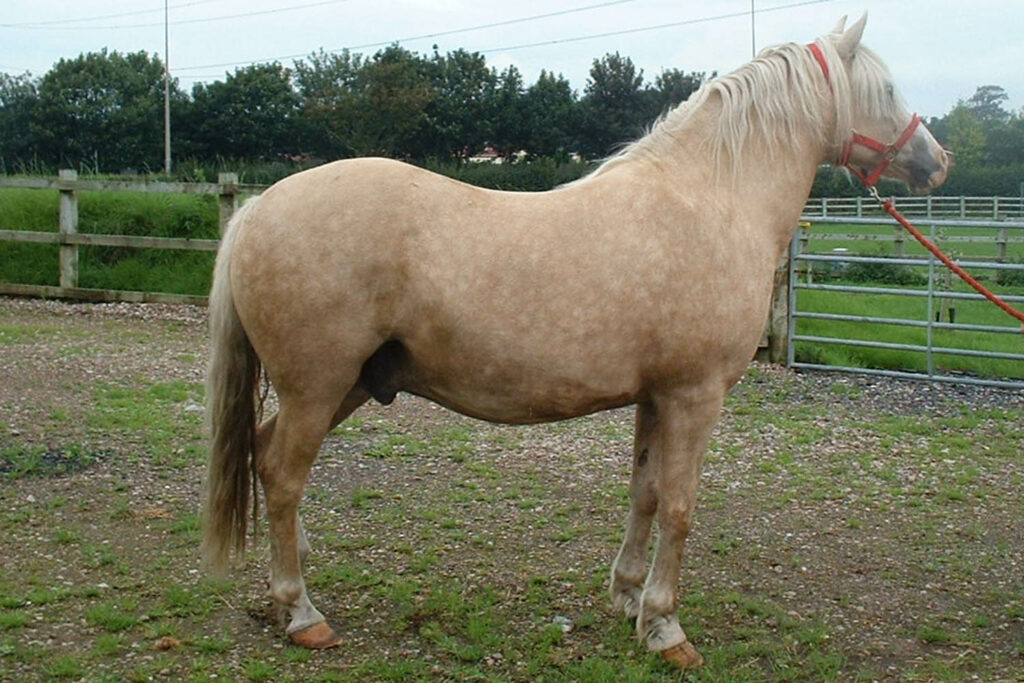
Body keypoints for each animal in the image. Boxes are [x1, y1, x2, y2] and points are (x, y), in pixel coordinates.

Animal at [203, 14, 946, 667]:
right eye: (885, 91)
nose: (937, 161)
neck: (710, 199)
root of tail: (258, 209)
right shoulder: (695, 396)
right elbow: (680, 505)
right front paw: (667, 629)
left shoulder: (656, 396)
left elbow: (646, 492)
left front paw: (629, 601)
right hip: (317, 386)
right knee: (284, 475)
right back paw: (303, 613)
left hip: (349, 384)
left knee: (265, 456)